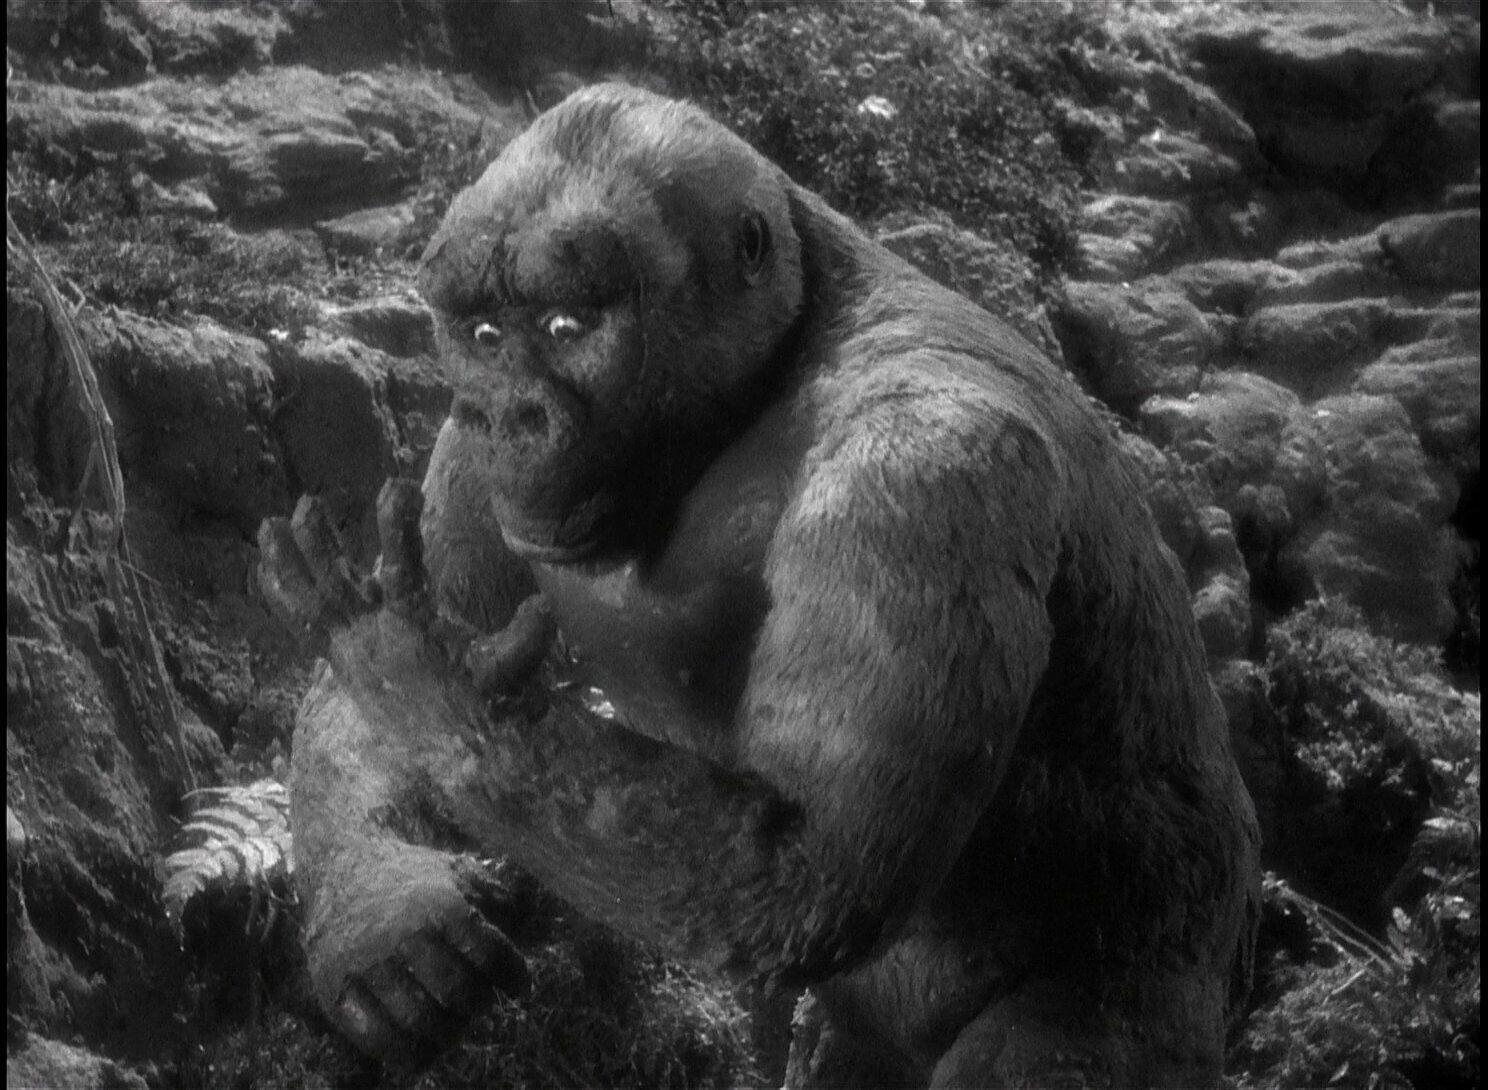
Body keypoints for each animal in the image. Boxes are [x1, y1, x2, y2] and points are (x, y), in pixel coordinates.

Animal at [267, 82, 1261, 1087]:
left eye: (565, 328)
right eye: (481, 335)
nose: (512, 415)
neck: (767, 376)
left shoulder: (923, 475)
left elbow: (808, 866)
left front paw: (421, 682)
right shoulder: (471, 455)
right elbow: (369, 715)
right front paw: (385, 914)